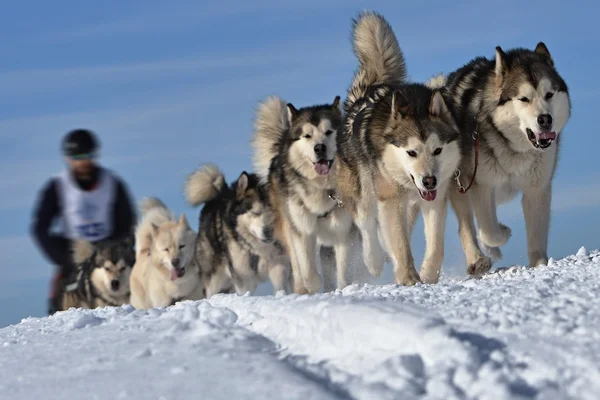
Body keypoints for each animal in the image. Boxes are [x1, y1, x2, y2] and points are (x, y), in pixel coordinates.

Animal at [185, 162, 292, 296]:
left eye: (274, 212)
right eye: (256, 212)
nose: (269, 232)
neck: (258, 250)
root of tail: (219, 194)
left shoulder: (278, 265)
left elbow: (280, 286)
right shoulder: (243, 276)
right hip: (213, 278)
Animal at [338, 10, 464, 284]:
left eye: (437, 150)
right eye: (411, 152)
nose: (429, 180)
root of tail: (369, 92)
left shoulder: (435, 200)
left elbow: (435, 245)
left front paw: (428, 274)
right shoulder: (390, 200)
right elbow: (400, 244)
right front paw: (409, 278)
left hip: (410, 204)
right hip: (363, 190)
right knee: (366, 224)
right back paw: (374, 260)